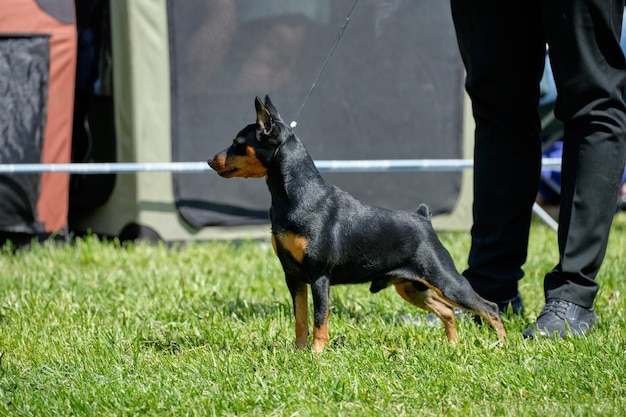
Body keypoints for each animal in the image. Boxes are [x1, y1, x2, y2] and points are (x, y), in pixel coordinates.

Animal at [207, 95, 504, 352]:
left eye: (237, 142)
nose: (210, 160)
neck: (296, 194)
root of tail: (424, 218)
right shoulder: (293, 276)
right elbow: (300, 318)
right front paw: (299, 352)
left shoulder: (319, 276)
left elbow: (319, 318)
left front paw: (316, 354)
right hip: (411, 286)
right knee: (448, 311)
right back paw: (453, 346)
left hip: (446, 281)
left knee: (490, 308)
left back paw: (501, 348)